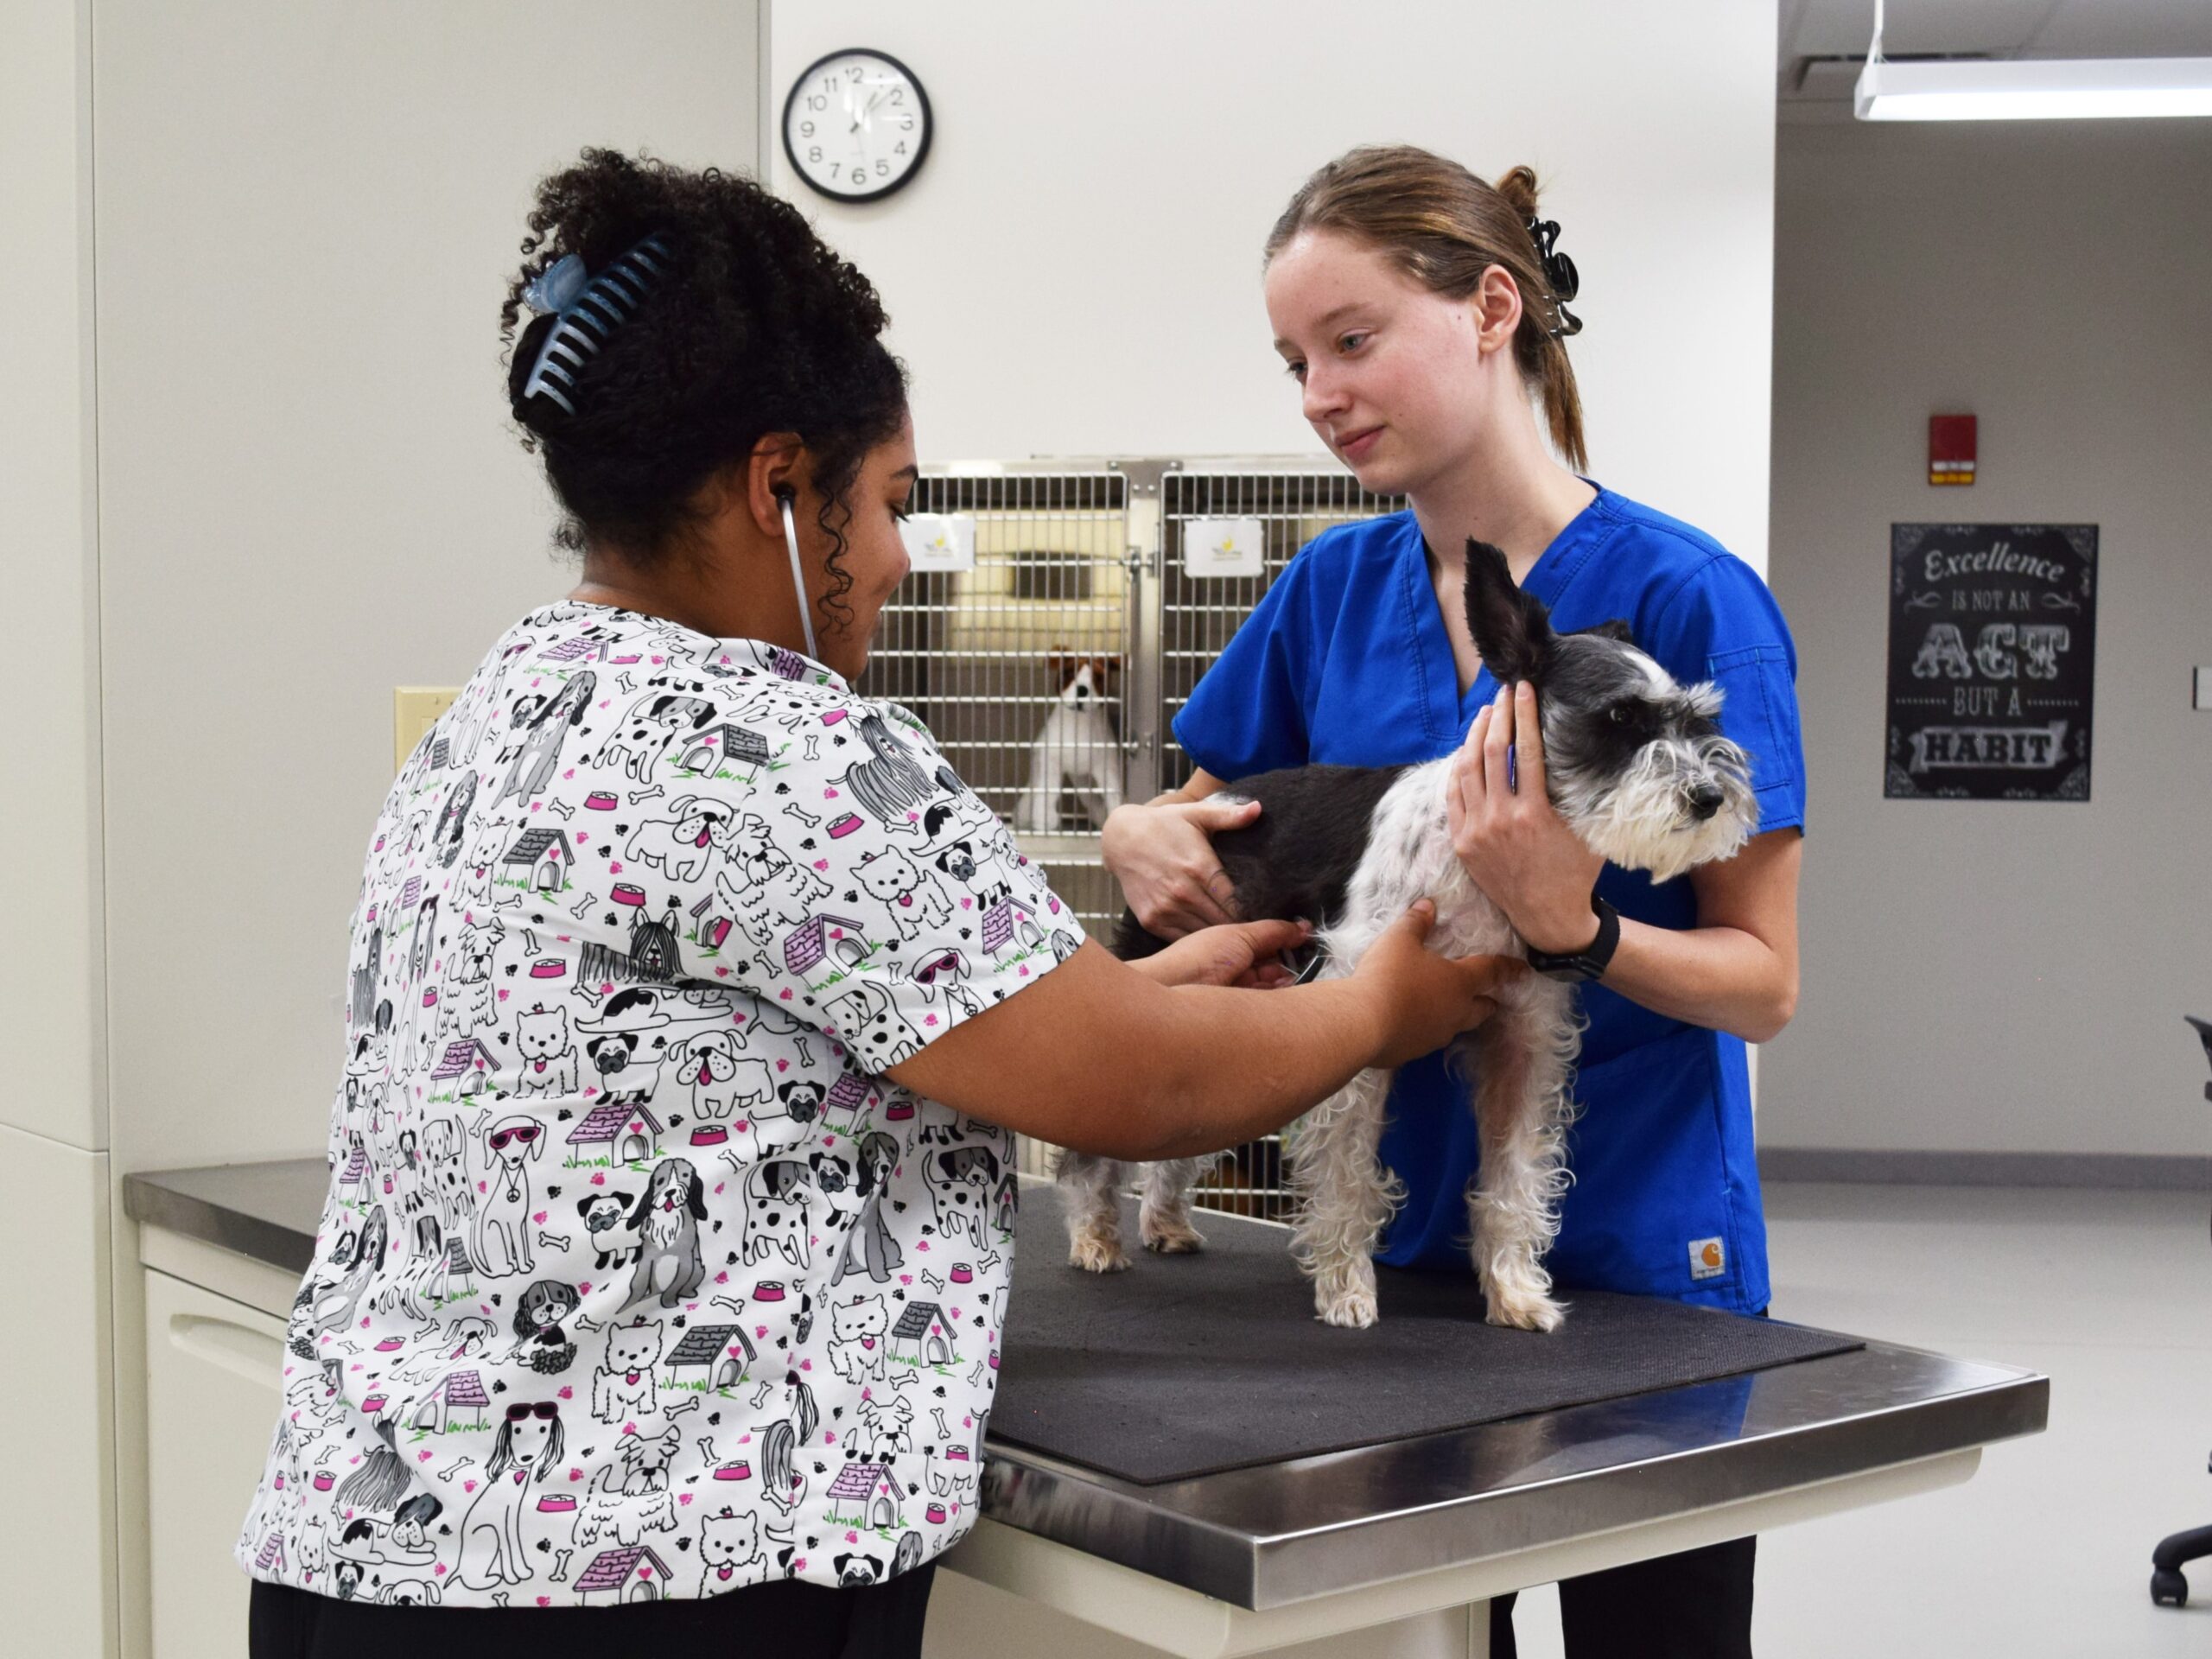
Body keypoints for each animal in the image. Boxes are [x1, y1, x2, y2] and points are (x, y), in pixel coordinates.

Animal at [1052, 539, 1760, 1336]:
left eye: (1698, 721)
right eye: (1619, 717)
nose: (1709, 798)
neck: (1472, 857)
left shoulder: (1521, 1041)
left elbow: (1513, 1181)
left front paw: (1515, 1291)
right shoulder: (1363, 1029)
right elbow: (1349, 1179)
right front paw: (1345, 1290)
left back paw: (1165, 1221)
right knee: (1094, 1152)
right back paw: (1095, 1235)